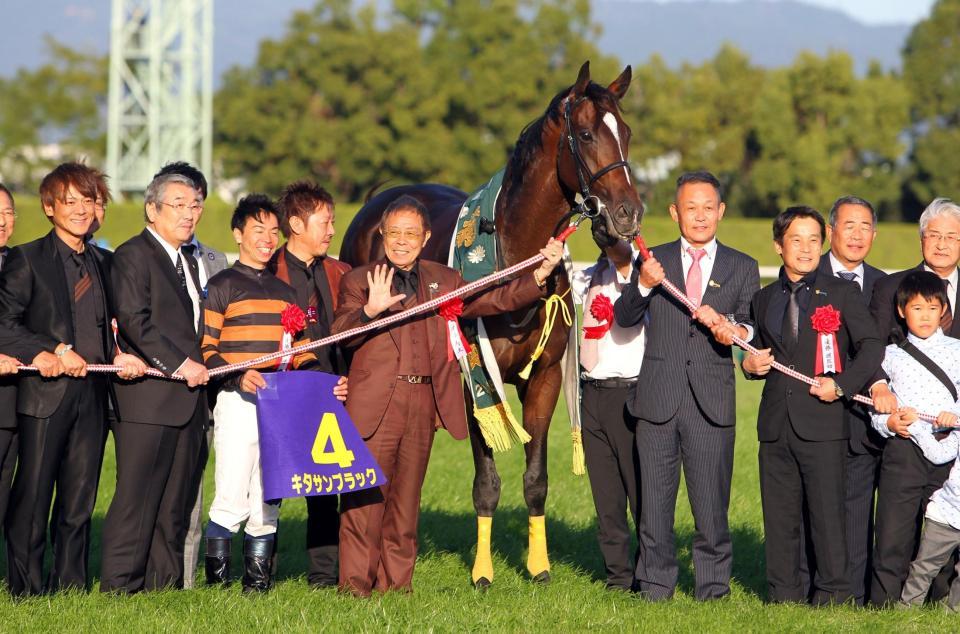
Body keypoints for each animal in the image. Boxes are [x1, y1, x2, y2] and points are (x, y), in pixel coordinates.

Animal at [340, 61, 644, 584]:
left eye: (624, 132)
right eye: (586, 134)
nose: (627, 214)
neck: (512, 256)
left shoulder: (544, 378)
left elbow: (536, 479)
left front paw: (538, 567)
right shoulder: (475, 381)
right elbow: (486, 482)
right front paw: (482, 572)